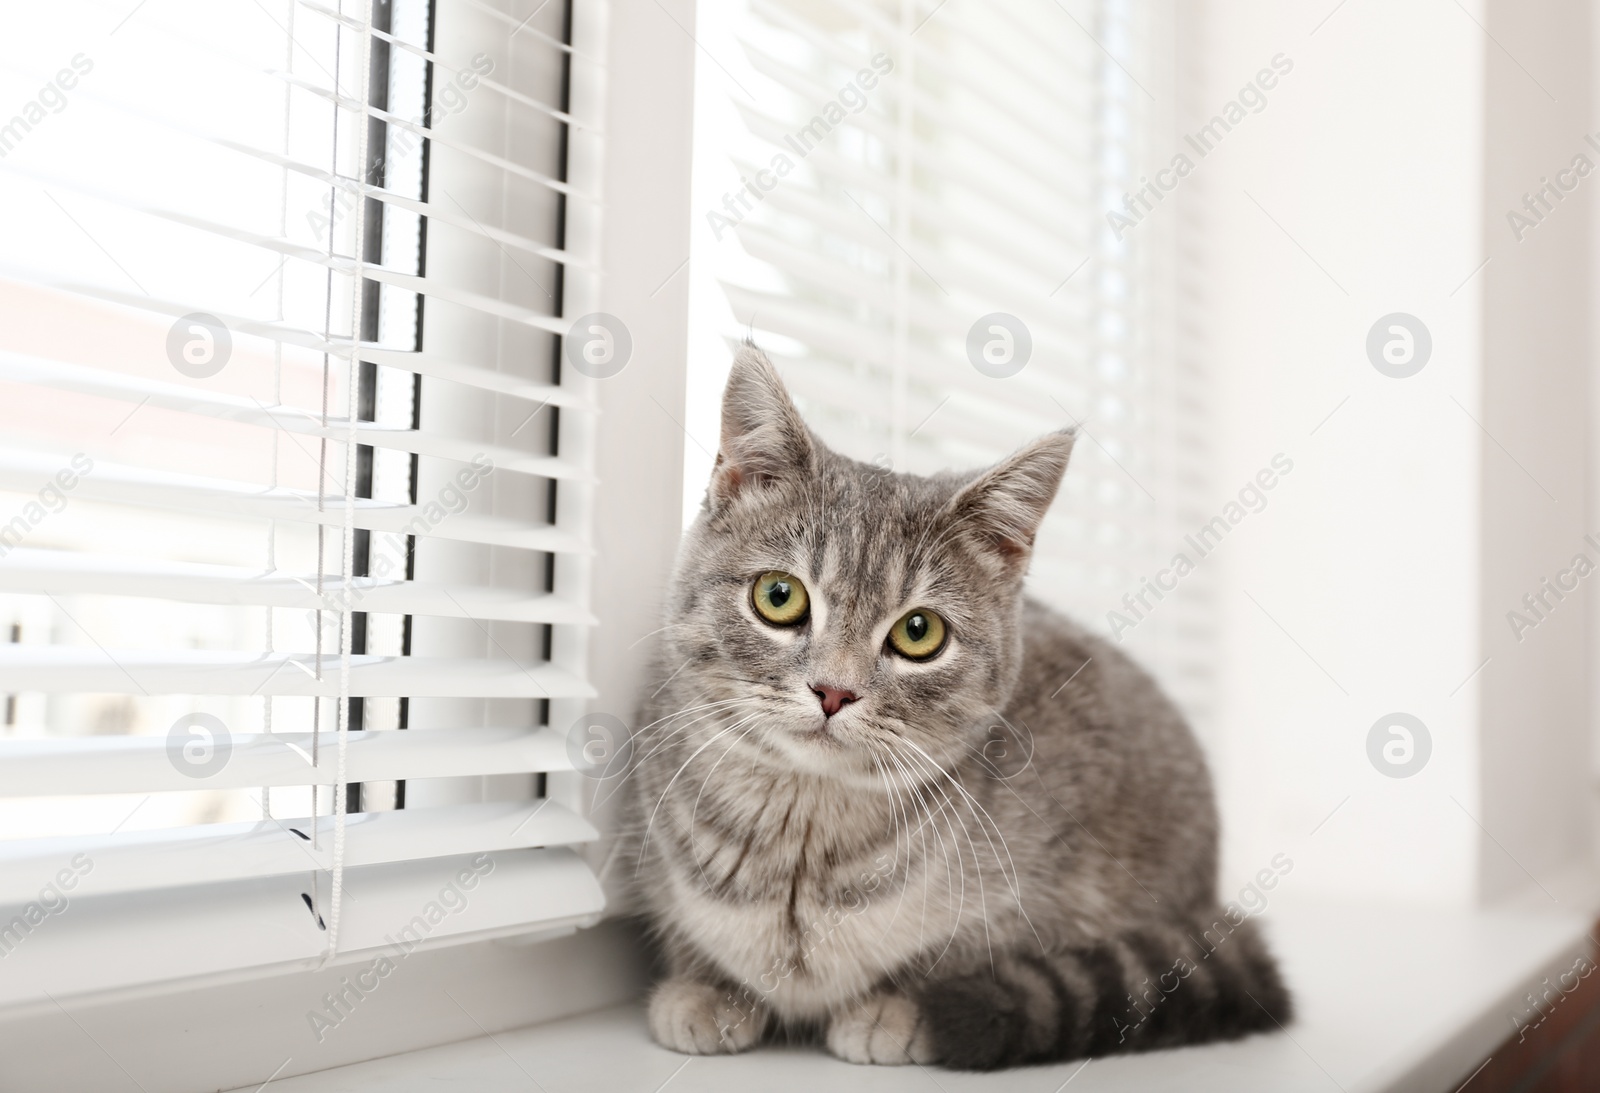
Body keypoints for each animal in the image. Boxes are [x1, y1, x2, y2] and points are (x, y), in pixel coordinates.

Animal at [620, 348, 1286, 1068]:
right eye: (779, 595)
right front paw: (705, 988)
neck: (802, 839)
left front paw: (896, 1007)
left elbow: (966, 953)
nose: (834, 690)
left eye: (919, 632)